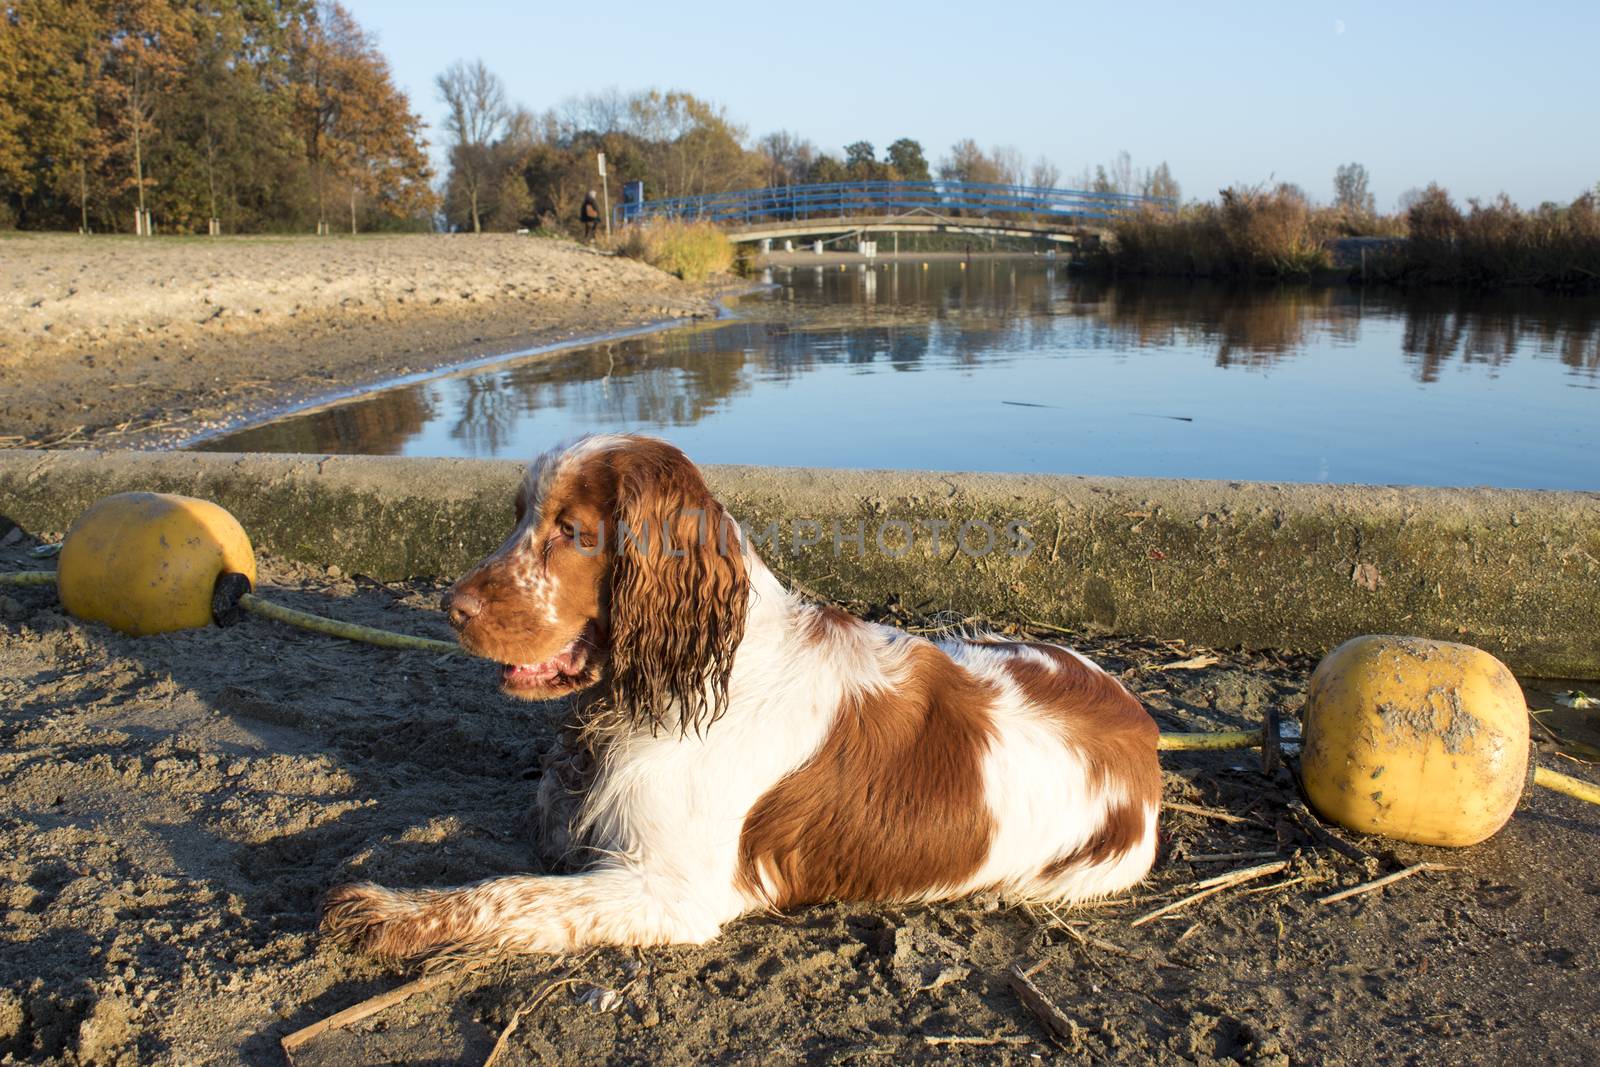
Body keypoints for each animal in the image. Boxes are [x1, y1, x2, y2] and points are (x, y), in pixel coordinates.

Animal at [321, 435, 1164, 959]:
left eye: (572, 530)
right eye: (521, 517)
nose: (450, 605)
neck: (679, 683)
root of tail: (1145, 732)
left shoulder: (670, 891)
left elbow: (504, 896)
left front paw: (386, 910)